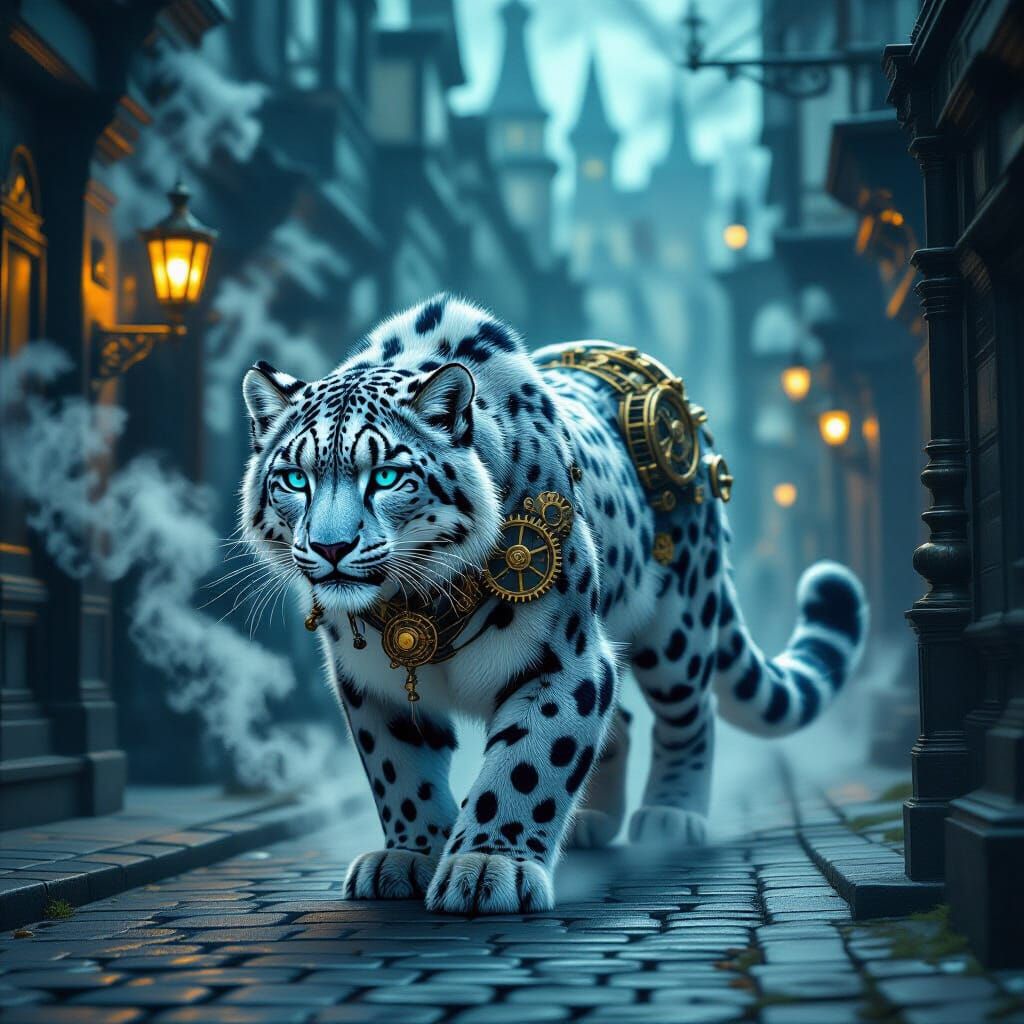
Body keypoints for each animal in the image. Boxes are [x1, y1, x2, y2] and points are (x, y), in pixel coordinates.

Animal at [239, 293, 867, 915]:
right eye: (294, 479)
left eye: (388, 476)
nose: (331, 546)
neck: (416, 605)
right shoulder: (372, 681)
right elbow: (398, 771)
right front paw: (409, 856)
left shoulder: (565, 661)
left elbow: (528, 766)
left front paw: (486, 867)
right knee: (626, 721)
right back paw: (592, 822)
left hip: (679, 630)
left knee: (689, 713)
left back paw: (672, 816)